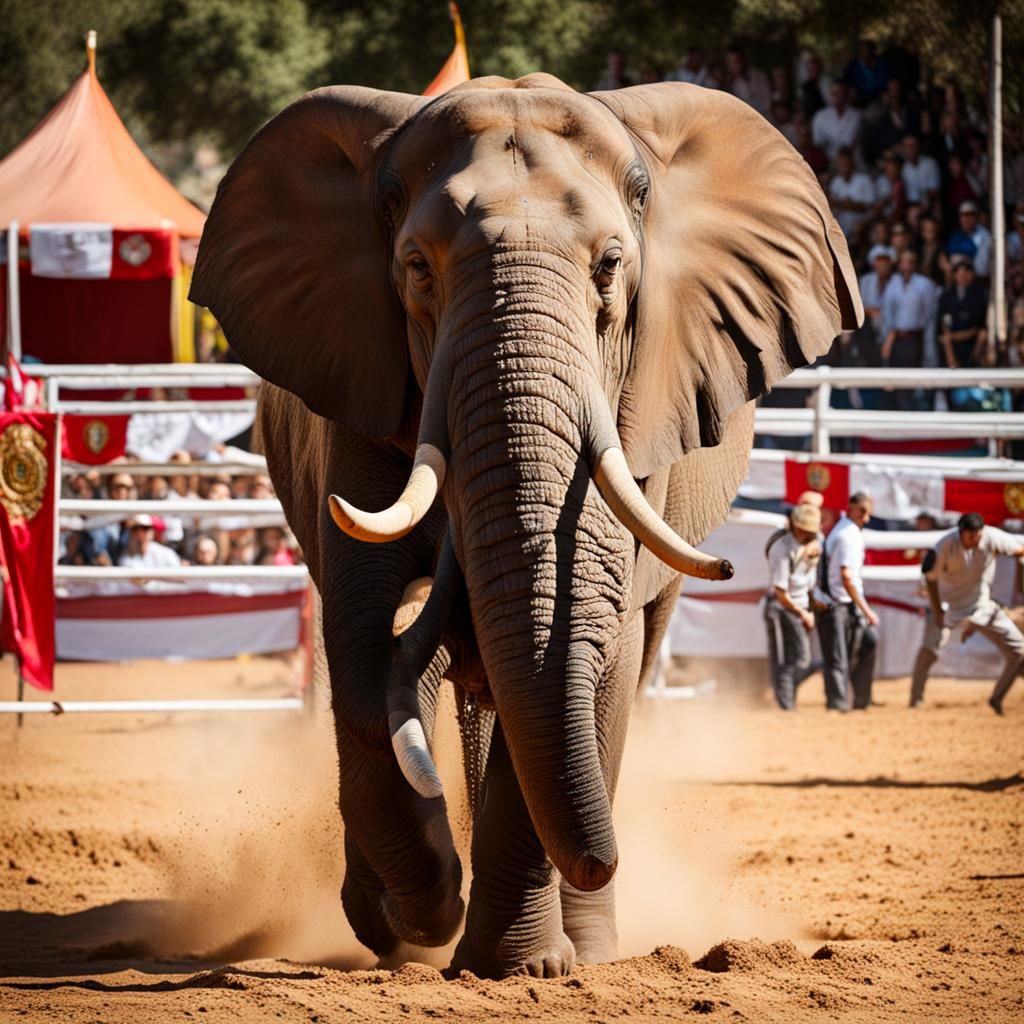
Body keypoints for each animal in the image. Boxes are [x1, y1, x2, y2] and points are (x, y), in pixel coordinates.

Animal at [190, 74, 861, 979]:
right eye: (416, 269)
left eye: (611, 267)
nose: (603, 859)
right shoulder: (358, 400)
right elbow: (363, 633)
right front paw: (422, 911)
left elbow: (588, 645)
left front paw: (519, 966)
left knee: (617, 669)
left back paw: (583, 945)